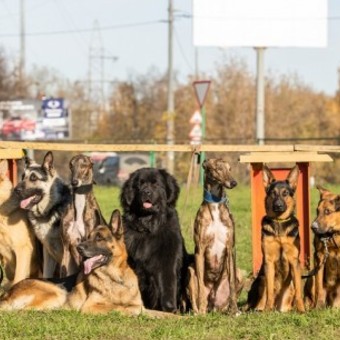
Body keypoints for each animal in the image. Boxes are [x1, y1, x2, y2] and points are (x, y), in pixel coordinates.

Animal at [0, 209, 178, 318]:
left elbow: (163, 314)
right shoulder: (91, 307)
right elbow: (122, 308)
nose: (79, 248)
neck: (116, 279)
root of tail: (7, 293)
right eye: (87, 238)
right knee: (23, 312)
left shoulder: (145, 308)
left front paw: (180, 318)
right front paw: (131, 311)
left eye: (99, 238)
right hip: (58, 292)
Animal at [120, 167, 189, 314]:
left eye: (156, 184)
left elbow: (167, 283)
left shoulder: (168, 259)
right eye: (139, 185)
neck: (148, 226)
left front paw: (169, 308)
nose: (146, 192)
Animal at [187, 158, 240, 314]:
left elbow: (232, 284)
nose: (234, 183)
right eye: (218, 168)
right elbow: (200, 286)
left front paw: (235, 310)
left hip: (239, 273)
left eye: (230, 169)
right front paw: (201, 311)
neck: (216, 204)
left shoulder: (230, 248)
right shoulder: (200, 249)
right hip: (190, 271)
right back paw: (199, 311)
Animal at [246, 165, 304, 314]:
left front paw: (301, 309)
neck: (279, 223)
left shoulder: (294, 261)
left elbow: (299, 291)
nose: (278, 206)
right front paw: (267, 309)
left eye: (285, 193)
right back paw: (262, 309)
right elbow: (270, 291)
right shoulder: (269, 261)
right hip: (261, 280)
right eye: (273, 193)